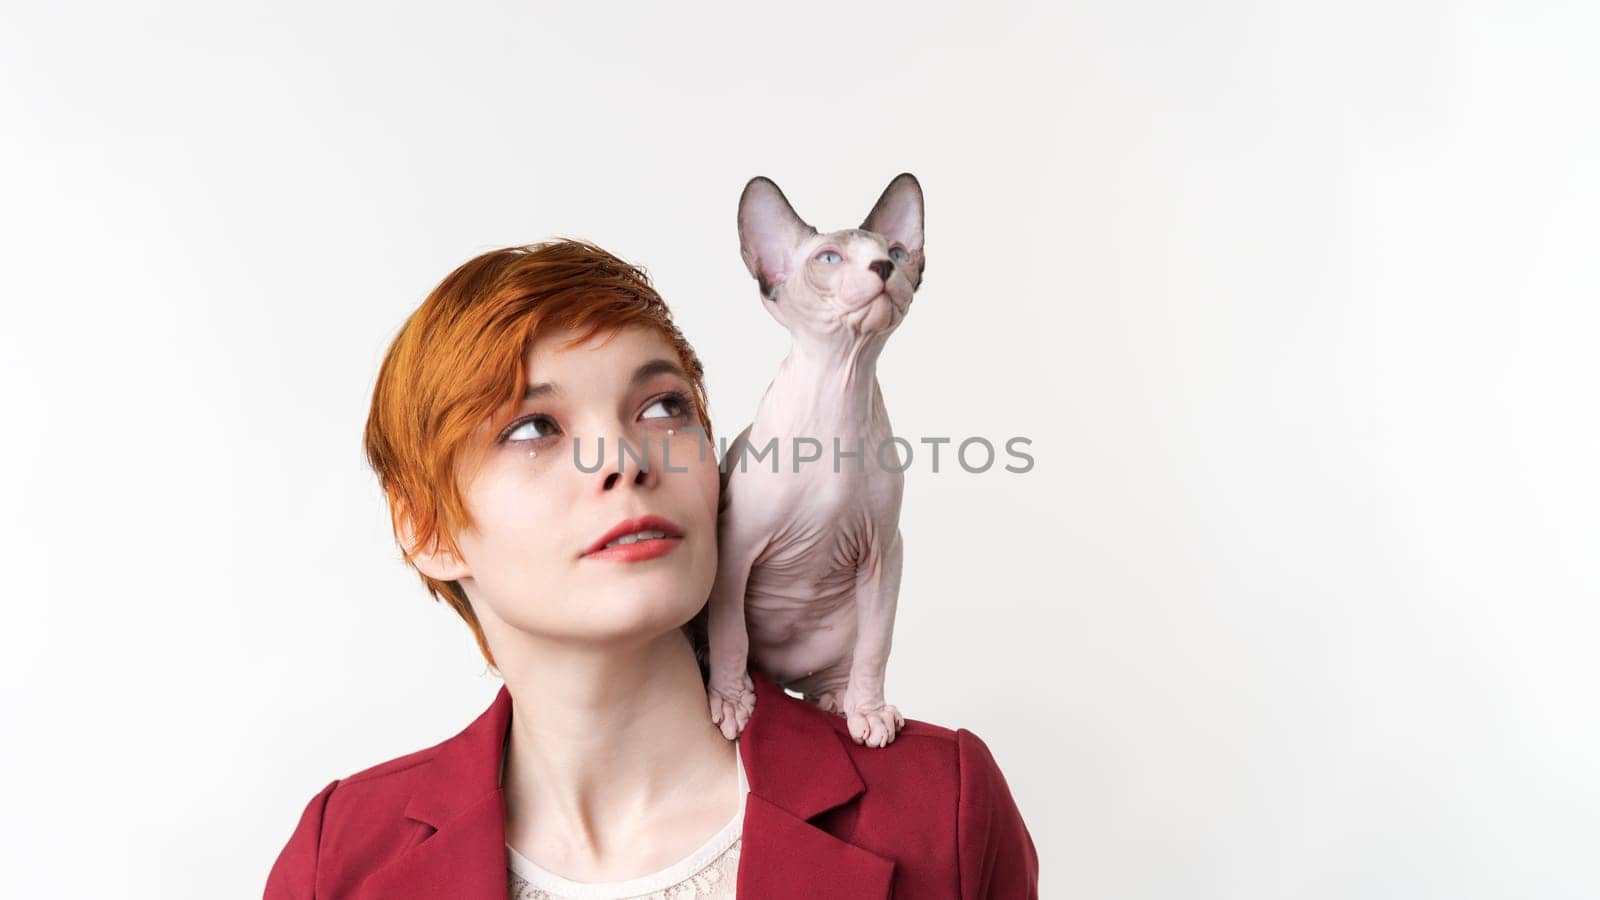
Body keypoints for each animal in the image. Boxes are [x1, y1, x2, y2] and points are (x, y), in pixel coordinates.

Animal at [704, 171, 928, 746]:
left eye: (897, 252)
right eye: (829, 258)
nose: (885, 267)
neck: (840, 389)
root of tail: (782, 674)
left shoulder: (885, 551)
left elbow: (877, 646)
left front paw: (868, 712)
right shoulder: (734, 546)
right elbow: (730, 636)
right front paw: (732, 702)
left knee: (841, 664)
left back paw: (838, 700)